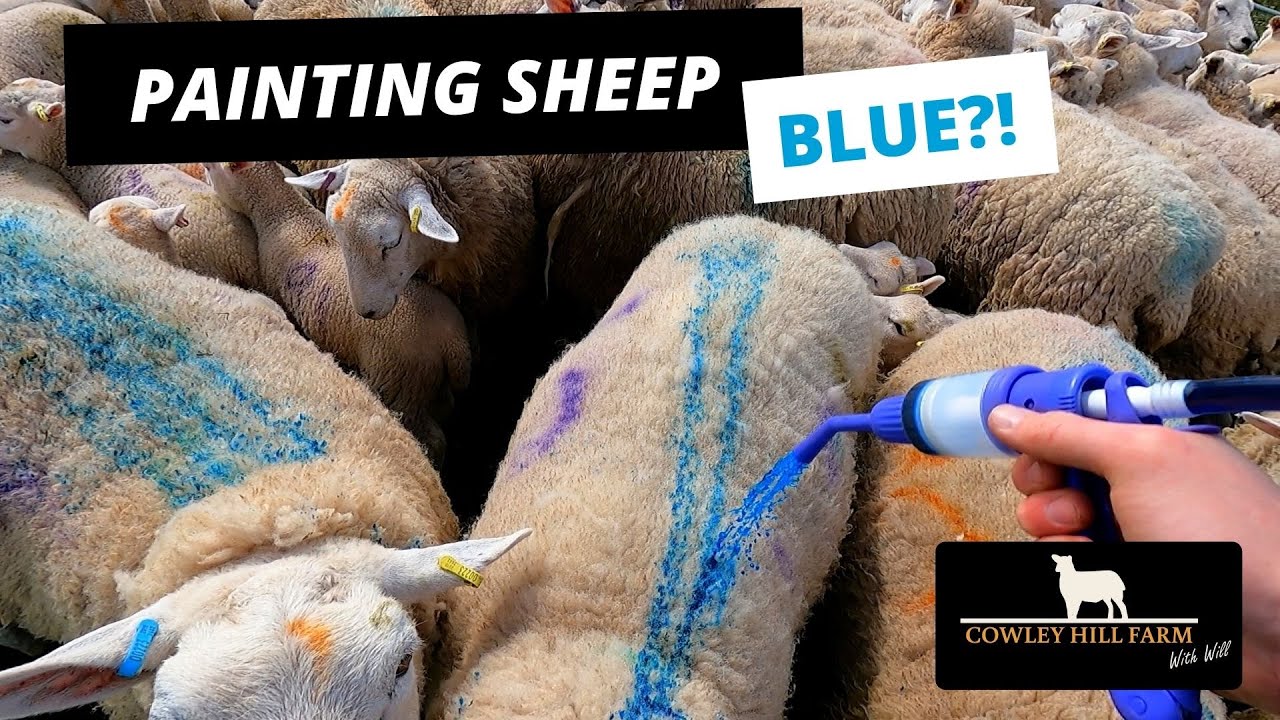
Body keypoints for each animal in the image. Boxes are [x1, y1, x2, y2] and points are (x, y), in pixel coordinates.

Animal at [203, 160, 472, 464]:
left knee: (432, 437)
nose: (203, 172)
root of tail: (452, 343)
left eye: (211, 169)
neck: (286, 214)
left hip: (400, 384)